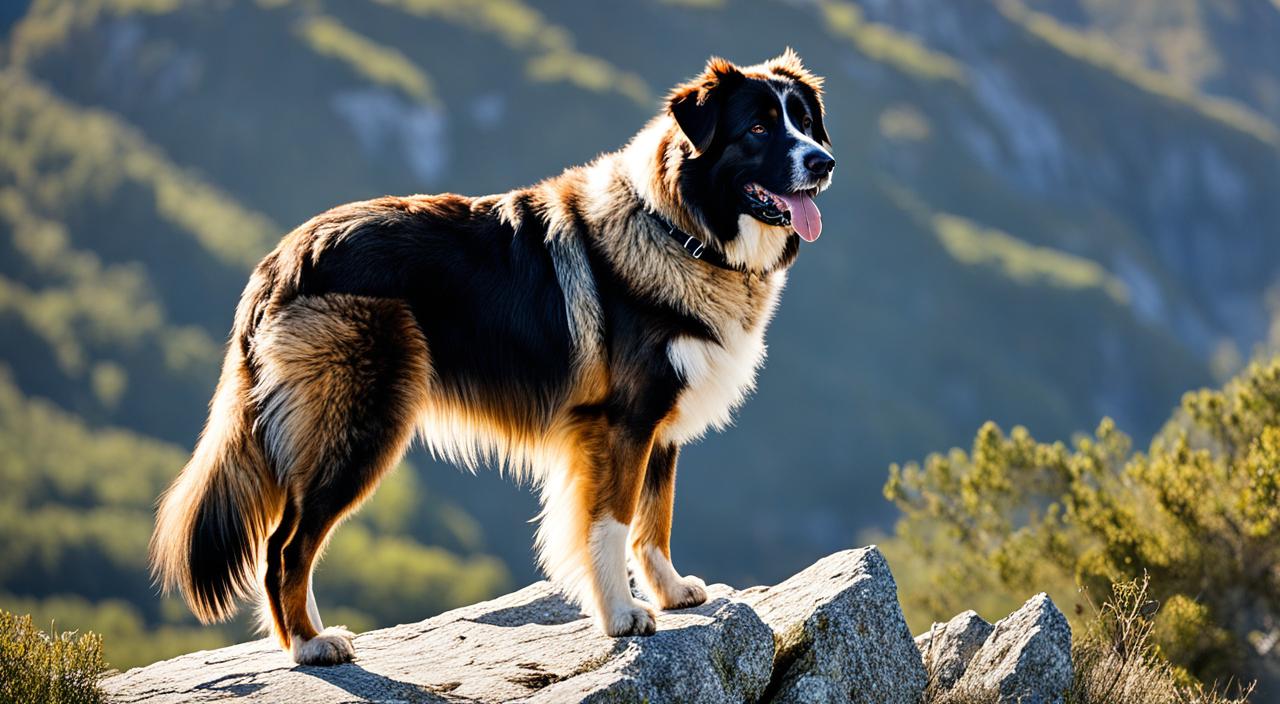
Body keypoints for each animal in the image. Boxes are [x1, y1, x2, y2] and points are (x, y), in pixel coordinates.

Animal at [149, 49, 834, 665]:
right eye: (757, 129)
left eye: (804, 120)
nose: (824, 161)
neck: (680, 228)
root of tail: (282, 258)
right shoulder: (622, 422)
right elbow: (611, 521)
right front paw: (621, 615)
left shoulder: (659, 425)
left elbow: (654, 518)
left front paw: (669, 592)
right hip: (361, 425)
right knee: (285, 548)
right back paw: (310, 645)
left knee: (289, 543)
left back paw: (310, 634)